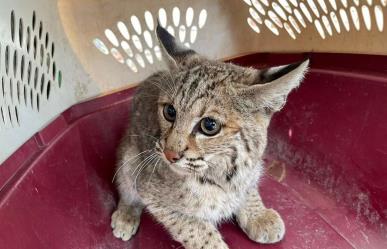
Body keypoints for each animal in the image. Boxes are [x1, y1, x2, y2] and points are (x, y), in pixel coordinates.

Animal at [111, 23, 310, 249]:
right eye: (170, 111)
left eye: (209, 125)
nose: (169, 155)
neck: (223, 171)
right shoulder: (152, 193)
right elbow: (195, 229)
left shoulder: (251, 166)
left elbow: (248, 188)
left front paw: (258, 216)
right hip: (130, 156)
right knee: (125, 182)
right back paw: (126, 215)